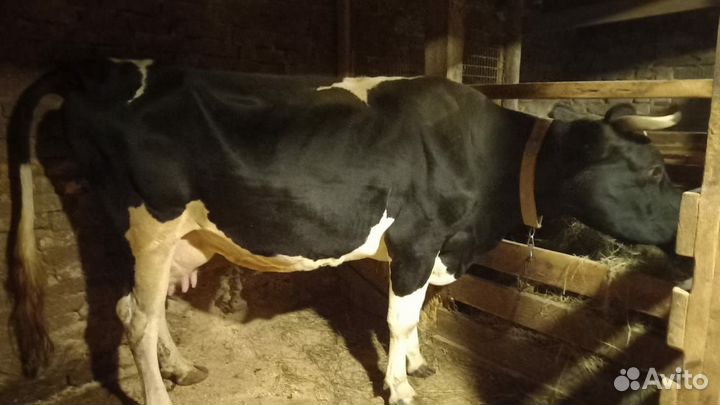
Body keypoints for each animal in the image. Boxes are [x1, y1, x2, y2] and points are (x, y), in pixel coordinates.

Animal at [7, 59, 682, 405]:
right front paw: (400, 385)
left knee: (142, 308)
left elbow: (417, 312)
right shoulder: (417, 240)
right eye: (652, 171)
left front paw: (417, 365)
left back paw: (183, 369)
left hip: (182, 235)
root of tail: (103, 68)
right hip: (149, 223)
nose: (688, 225)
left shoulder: (430, 250)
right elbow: (399, 318)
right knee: (136, 318)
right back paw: (160, 394)